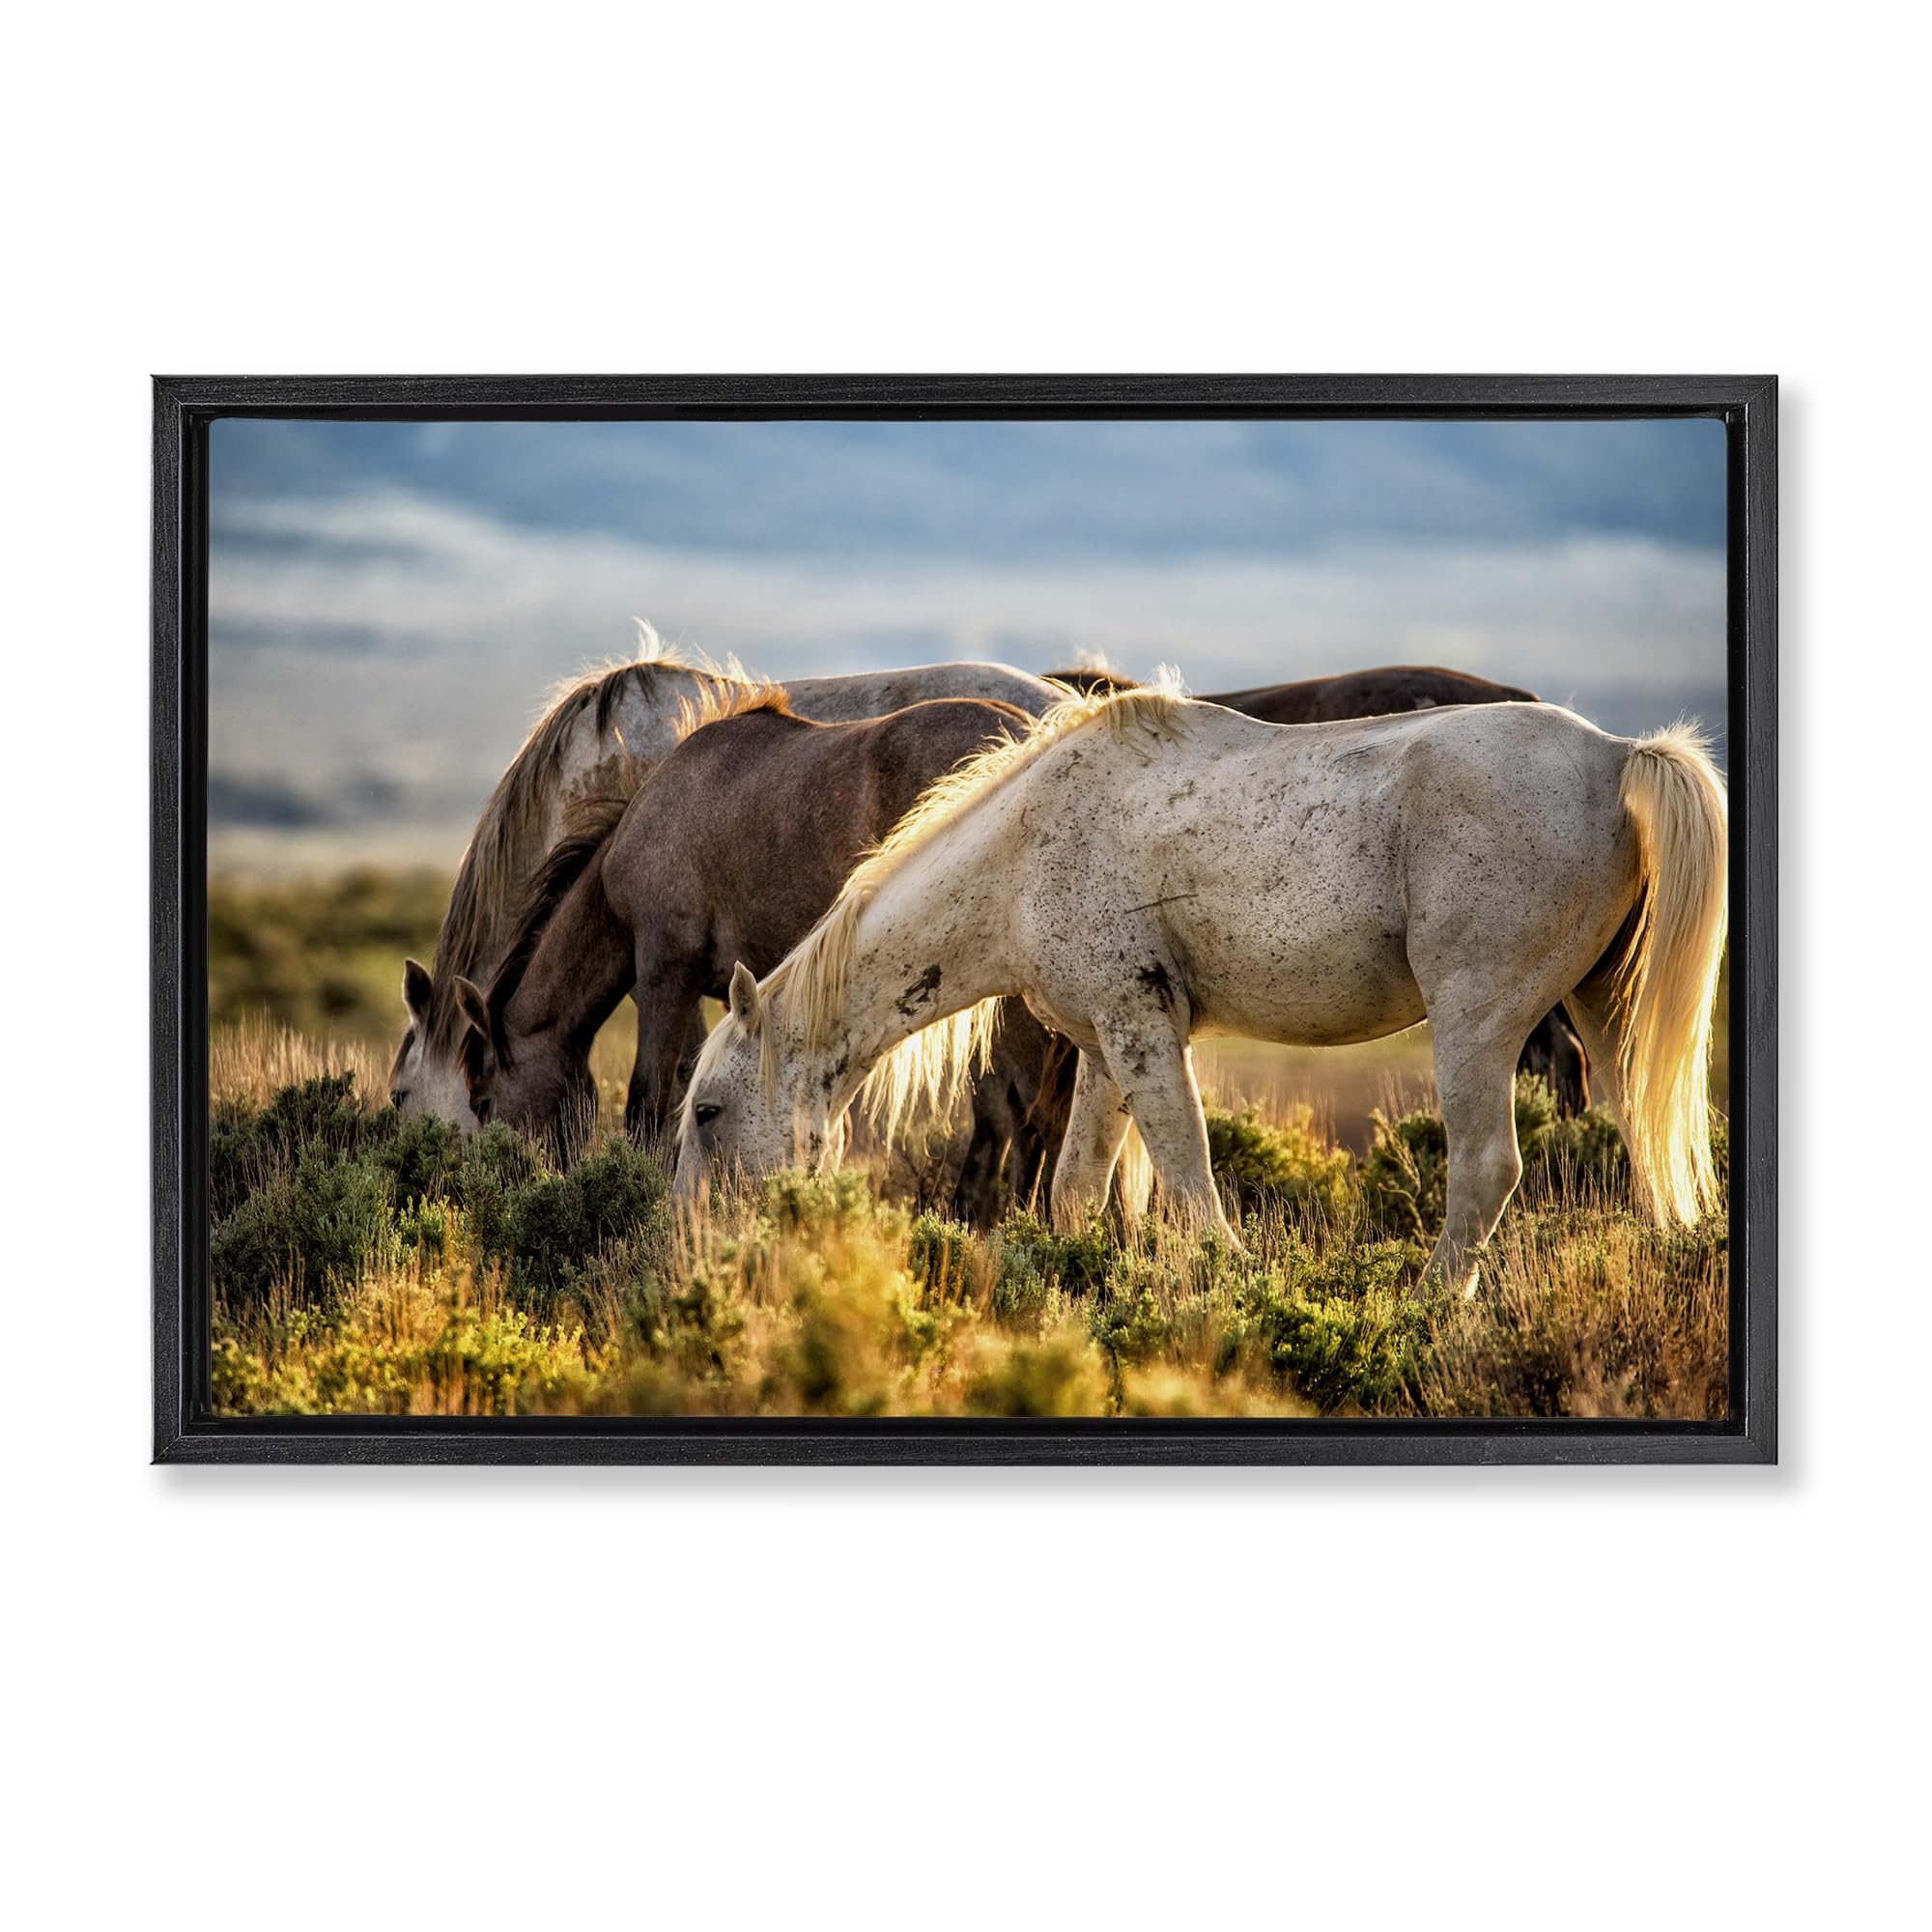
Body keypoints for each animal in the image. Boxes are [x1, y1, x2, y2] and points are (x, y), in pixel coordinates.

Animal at [673, 686, 1727, 1297]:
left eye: (707, 1111)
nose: (698, 1244)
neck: (1023, 854)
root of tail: (1615, 756)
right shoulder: (1107, 1046)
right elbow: (1075, 1189)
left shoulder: (1143, 1029)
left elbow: (1186, 1176)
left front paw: (1234, 1283)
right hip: (1603, 1007)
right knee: (1647, 1132)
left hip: (1474, 1021)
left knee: (1484, 1167)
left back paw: (1428, 1306)